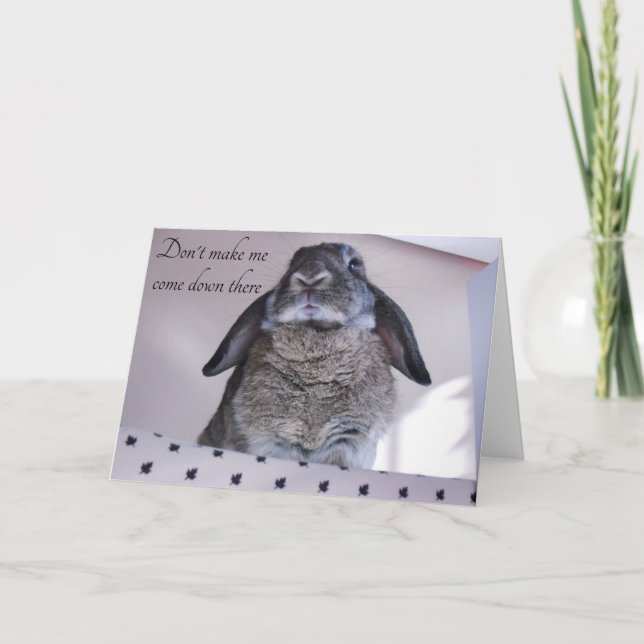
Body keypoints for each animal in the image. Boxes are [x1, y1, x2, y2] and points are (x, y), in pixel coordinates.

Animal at [197, 242, 431, 469]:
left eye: (354, 265)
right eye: (291, 264)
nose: (309, 275)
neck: (318, 332)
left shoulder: (346, 440)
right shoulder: (273, 436)